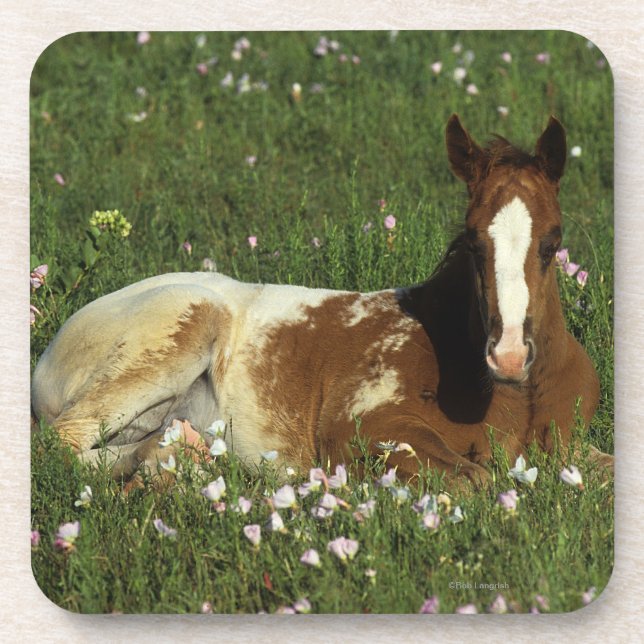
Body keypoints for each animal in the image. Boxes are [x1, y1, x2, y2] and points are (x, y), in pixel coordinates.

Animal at [31, 115, 611, 488]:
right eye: (472, 241)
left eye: (553, 241)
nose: (509, 354)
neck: (516, 395)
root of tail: (52, 349)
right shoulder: (358, 427)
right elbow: (476, 481)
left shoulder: (572, 446)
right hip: (184, 324)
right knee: (61, 443)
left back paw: (181, 453)